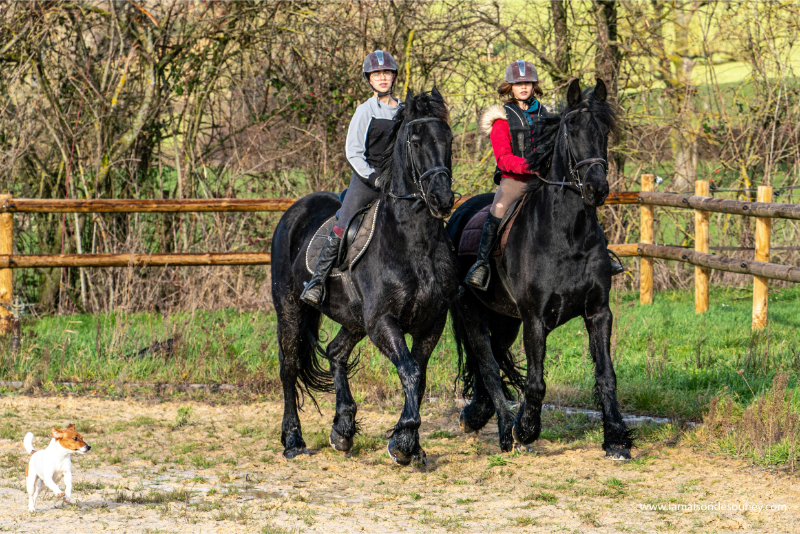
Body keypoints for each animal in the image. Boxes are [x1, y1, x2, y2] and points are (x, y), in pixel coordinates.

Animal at [270, 88, 454, 464]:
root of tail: (293, 211)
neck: (416, 243)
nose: (443, 200)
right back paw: (293, 440)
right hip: (290, 309)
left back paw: (342, 430)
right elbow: (410, 371)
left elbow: (419, 375)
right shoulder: (382, 320)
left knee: (336, 352)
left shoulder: (432, 322)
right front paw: (403, 441)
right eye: (415, 140)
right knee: (289, 367)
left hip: (353, 319)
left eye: (449, 138)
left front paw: (411, 444)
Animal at [450, 78, 632, 460]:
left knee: (494, 361)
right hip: (472, 312)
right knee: (487, 364)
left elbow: (606, 374)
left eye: (604, 130)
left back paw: (476, 415)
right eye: (572, 129)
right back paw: (505, 430)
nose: (596, 188)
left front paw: (616, 439)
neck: (567, 235)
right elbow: (536, 382)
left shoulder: (598, 312)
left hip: (506, 319)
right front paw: (526, 429)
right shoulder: (535, 318)